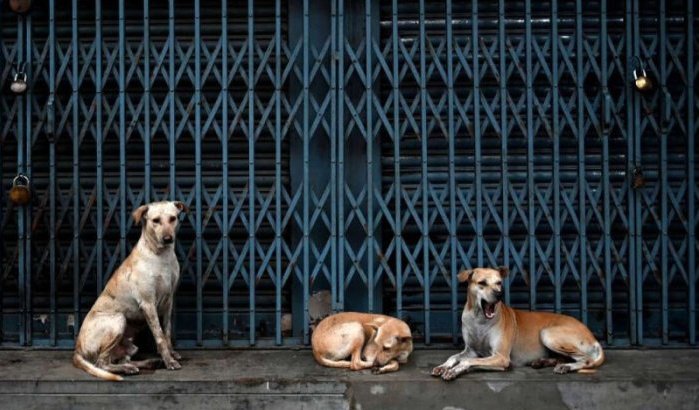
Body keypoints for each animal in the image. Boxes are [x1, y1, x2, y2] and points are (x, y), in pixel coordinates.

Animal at [74, 200, 189, 380]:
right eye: (155, 220)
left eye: (173, 218)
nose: (168, 239)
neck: (161, 256)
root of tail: (77, 348)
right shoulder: (148, 303)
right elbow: (159, 336)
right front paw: (169, 361)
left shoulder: (168, 301)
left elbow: (167, 331)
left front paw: (171, 354)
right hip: (118, 320)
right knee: (102, 363)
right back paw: (128, 369)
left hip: (130, 346)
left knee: (120, 359)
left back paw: (146, 363)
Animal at [430, 266, 604, 382]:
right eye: (482, 283)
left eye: (499, 283)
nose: (499, 294)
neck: (479, 319)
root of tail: (592, 336)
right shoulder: (471, 350)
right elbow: (454, 356)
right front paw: (444, 366)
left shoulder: (501, 358)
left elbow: (467, 361)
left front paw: (455, 370)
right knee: (565, 357)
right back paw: (543, 362)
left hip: (547, 333)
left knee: (586, 359)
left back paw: (566, 366)